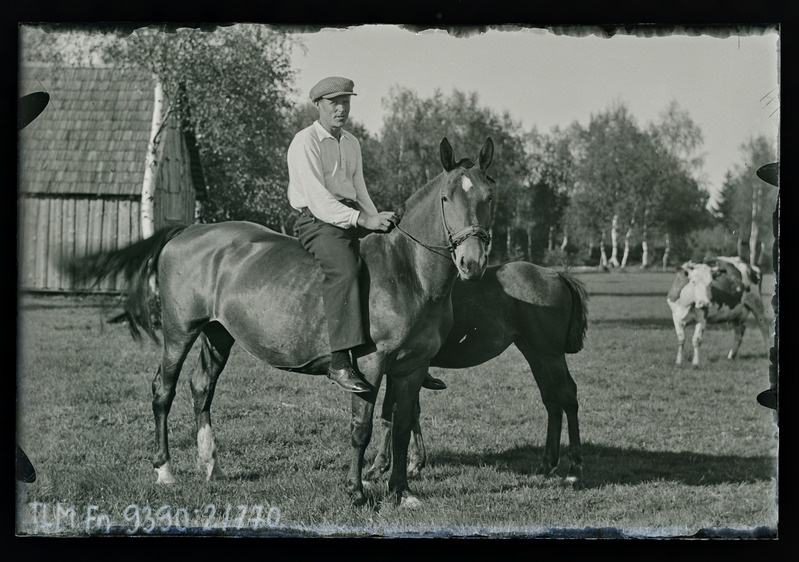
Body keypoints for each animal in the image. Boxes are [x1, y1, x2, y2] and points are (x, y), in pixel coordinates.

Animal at [65, 137, 496, 508]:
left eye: (489, 197)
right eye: (446, 198)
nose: (471, 263)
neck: (407, 273)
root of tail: (189, 231)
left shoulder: (412, 368)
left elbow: (403, 426)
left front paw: (402, 492)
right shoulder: (372, 366)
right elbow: (362, 428)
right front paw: (356, 492)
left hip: (218, 334)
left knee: (201, 387)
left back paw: (212, 465)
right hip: (179, 332)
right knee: (163, 391)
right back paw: (165, 470)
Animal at [362, 260, 588, 484]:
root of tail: (556, 275)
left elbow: (390, 412)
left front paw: (379, 466)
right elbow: (410, 412)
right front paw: (415, 462)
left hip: (549, 354)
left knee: (567, 397)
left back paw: (575, 469)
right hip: (535, 353)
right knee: (552, 400)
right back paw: (547, 463)